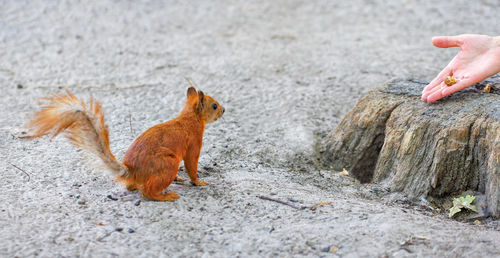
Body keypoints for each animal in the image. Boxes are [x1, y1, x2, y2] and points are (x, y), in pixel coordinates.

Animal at [25, 85, 225, 202]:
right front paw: (198, 182)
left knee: (132, 186)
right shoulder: (194, 143)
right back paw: (165, 196)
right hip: (167, 164)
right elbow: (192, 164)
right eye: (214, 105)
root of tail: (131, 170)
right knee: (147, 191)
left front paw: (182, 179)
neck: (189, 119)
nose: (224, 110)